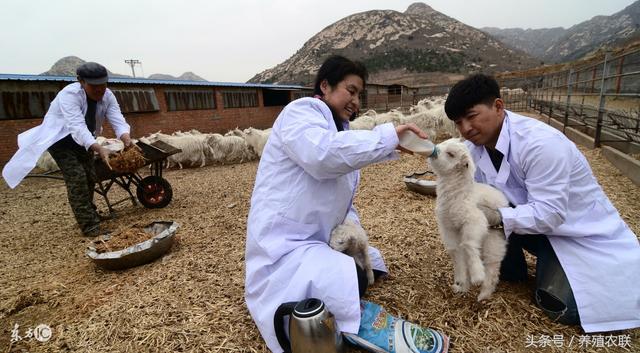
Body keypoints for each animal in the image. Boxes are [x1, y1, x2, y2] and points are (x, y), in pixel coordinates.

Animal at [430, 138, 510, 300]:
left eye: (451, 154)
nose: (433, 151)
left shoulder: (474, 222)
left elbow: (469, 245)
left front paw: (477, 275)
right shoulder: (447, 227)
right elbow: (456, 252)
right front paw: (460, 280)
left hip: (494, 238)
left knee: (492, 267)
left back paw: (483, 294)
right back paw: (463, 288)